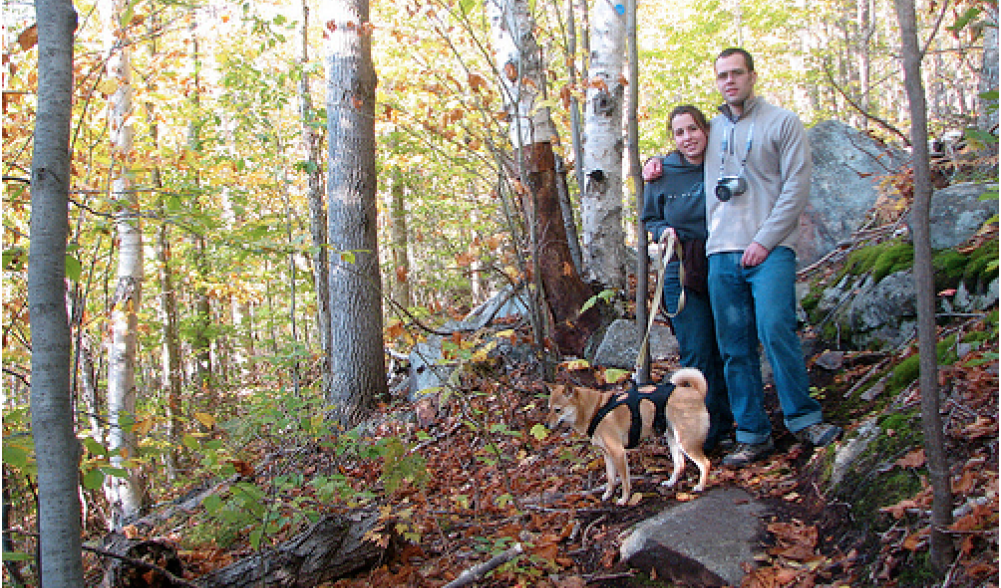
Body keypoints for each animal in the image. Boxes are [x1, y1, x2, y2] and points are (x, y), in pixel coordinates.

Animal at [548, 368, 712, 506]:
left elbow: (625, 481)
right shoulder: (607, 455)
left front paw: (624, 499)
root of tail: (695, 392)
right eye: (549, 409)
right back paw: (671, 483)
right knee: (680, 465)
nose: (546, 424)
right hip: (673, 440)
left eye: (558, 410)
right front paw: (608, 494)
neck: (596, 410)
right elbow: (611, 479)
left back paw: (700, 486)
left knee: (705, 463)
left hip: (686, 442)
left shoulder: (618, 453)